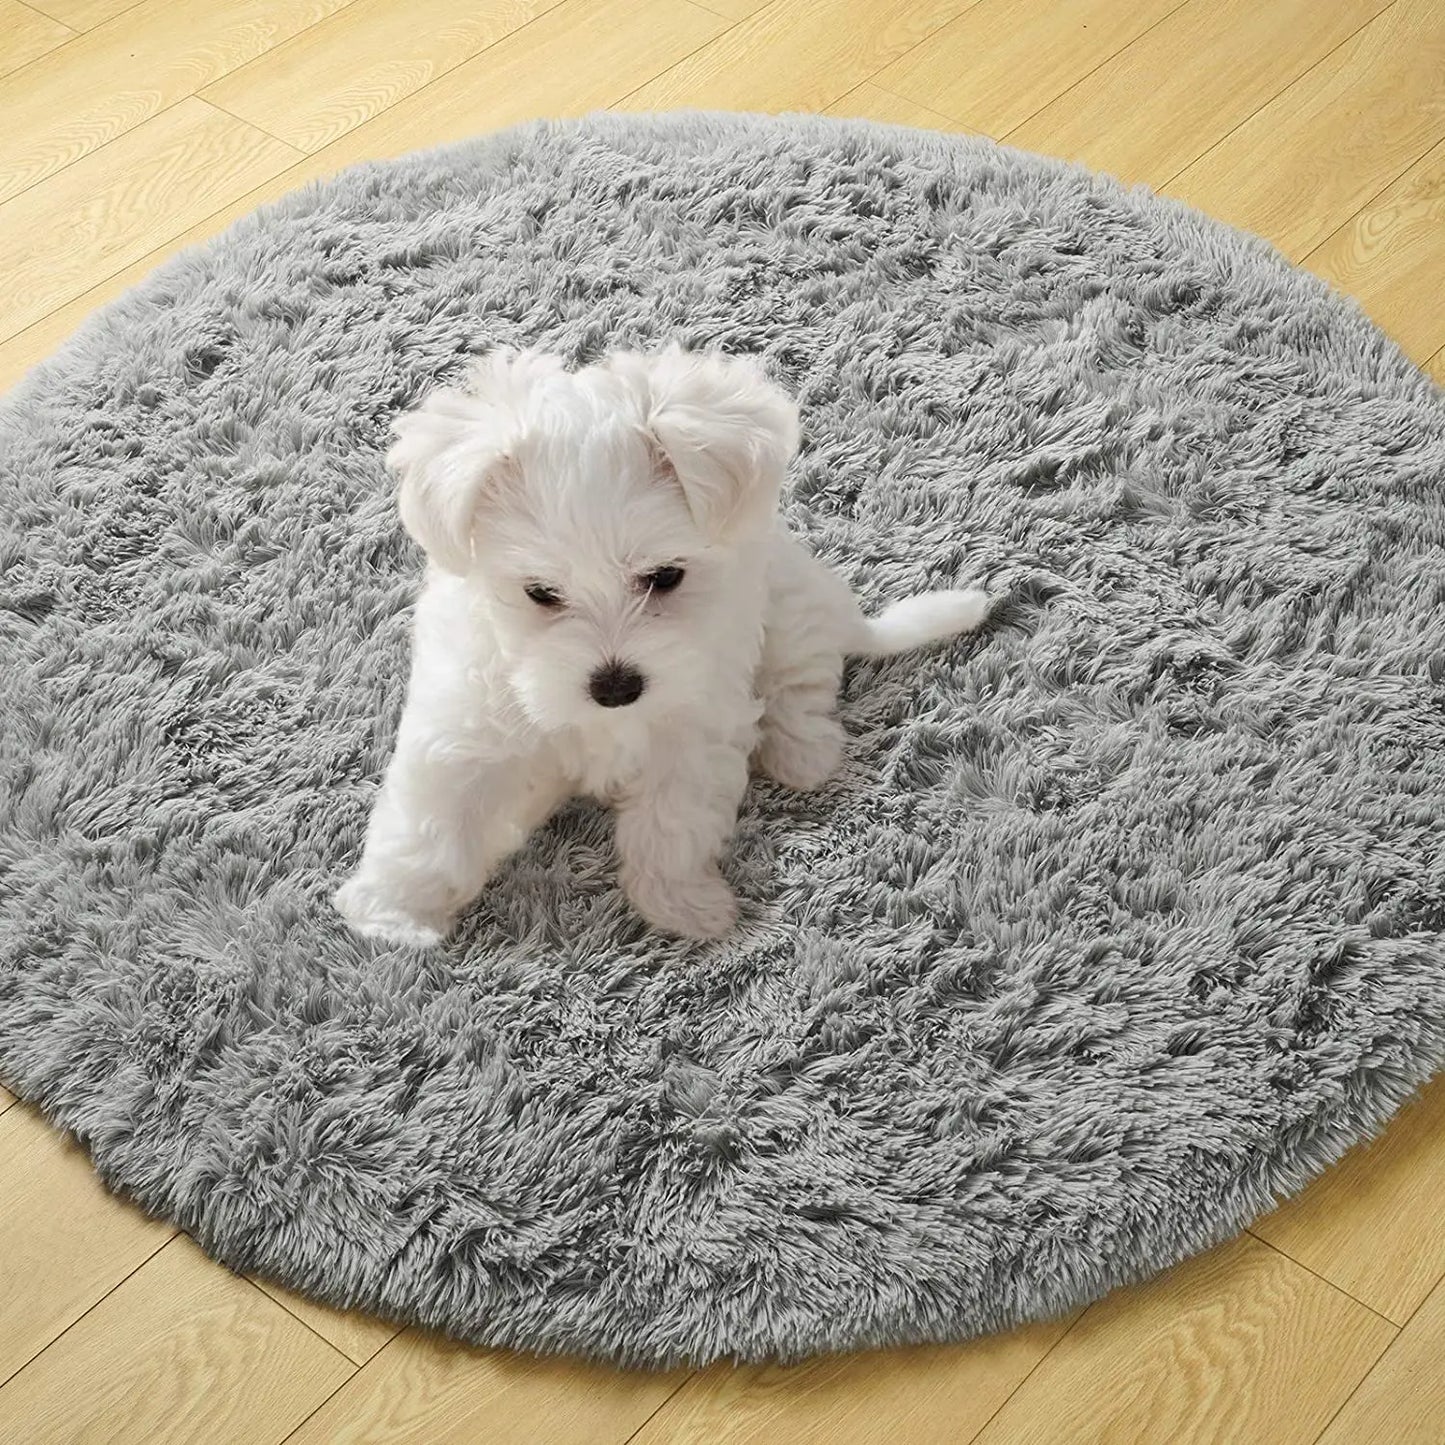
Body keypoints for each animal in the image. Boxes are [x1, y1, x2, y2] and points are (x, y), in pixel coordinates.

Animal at [336, 343, 994, 942]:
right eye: (541, 593)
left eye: (665, 577)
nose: (615, 687)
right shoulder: (468, 721)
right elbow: (432, 819)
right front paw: (393, 917)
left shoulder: (694, 728)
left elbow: (671, 821)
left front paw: (683, 906)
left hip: (786, 609)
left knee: (802, 682)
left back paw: (800, 752)